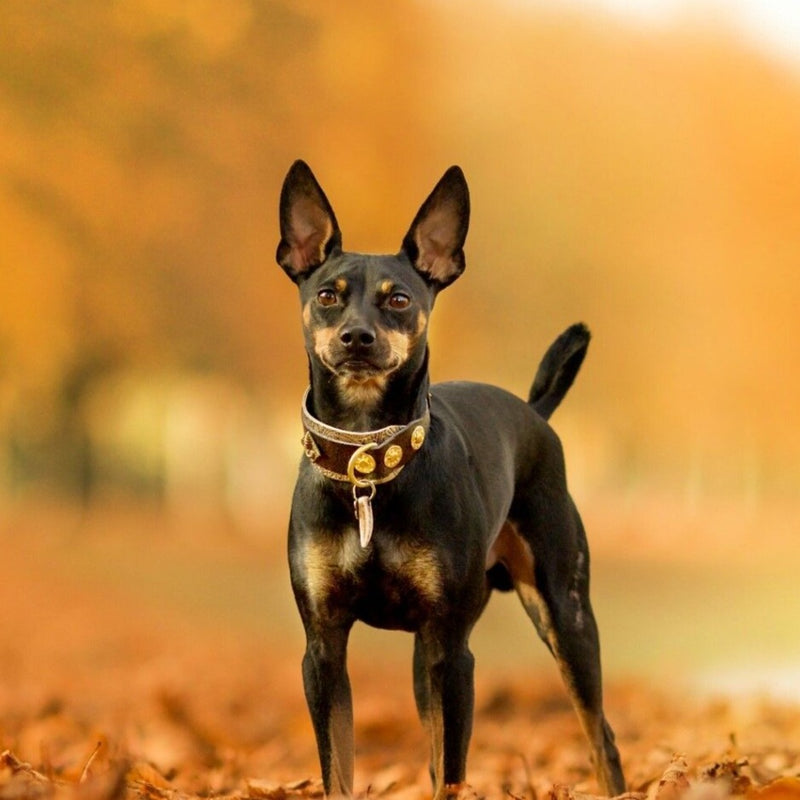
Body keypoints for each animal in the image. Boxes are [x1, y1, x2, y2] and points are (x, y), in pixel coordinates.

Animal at [276, 162, 624, 800]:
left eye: (399, 299)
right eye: (327, 295)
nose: (357, 337)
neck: (369, 463)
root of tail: (536, 413)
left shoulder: (453, 653)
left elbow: (454, 773)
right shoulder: (324, 649)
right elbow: (341, 768)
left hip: (564, 615)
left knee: (600, 734)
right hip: (424, 663)